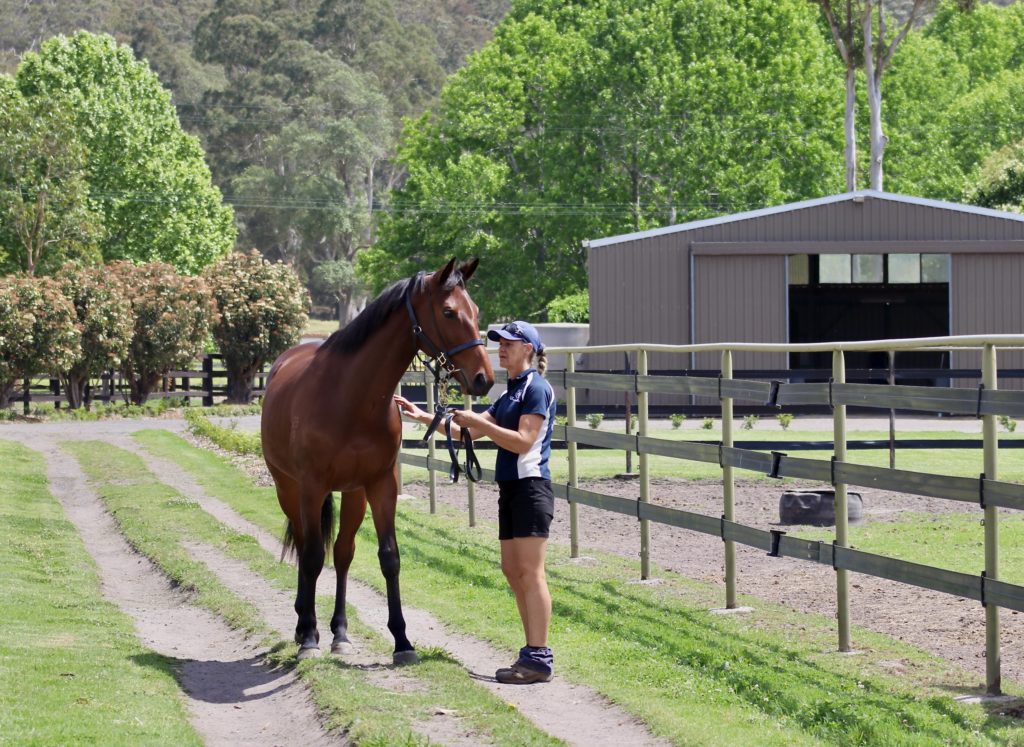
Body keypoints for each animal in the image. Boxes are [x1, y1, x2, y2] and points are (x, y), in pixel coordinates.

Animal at [261, 257, 494, 662]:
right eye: (448, 312)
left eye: (476, 311)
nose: (483, 378)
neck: (352, 397)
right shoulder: (311, 487)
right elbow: (311, 556)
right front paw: (309, 638)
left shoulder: (381, 484)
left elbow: (389, 557)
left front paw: (402, 641)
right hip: (287, 489)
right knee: (306, 547)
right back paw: (304, 625)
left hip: (353, 494)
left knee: (342, 552)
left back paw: (339, 632)